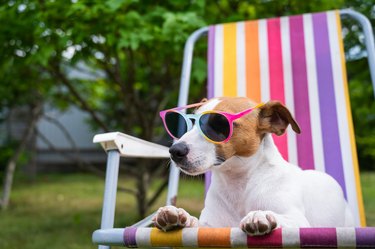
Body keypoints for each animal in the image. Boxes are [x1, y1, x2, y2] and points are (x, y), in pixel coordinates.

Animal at [153, 97, 356, 235]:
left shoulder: (298, 221)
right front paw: (180, 216)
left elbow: (279, 216)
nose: (175, 150)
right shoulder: (211, 227)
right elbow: (195, 223)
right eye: (191, 123)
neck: (238, 184)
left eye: (219, 124)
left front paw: (262, 215)